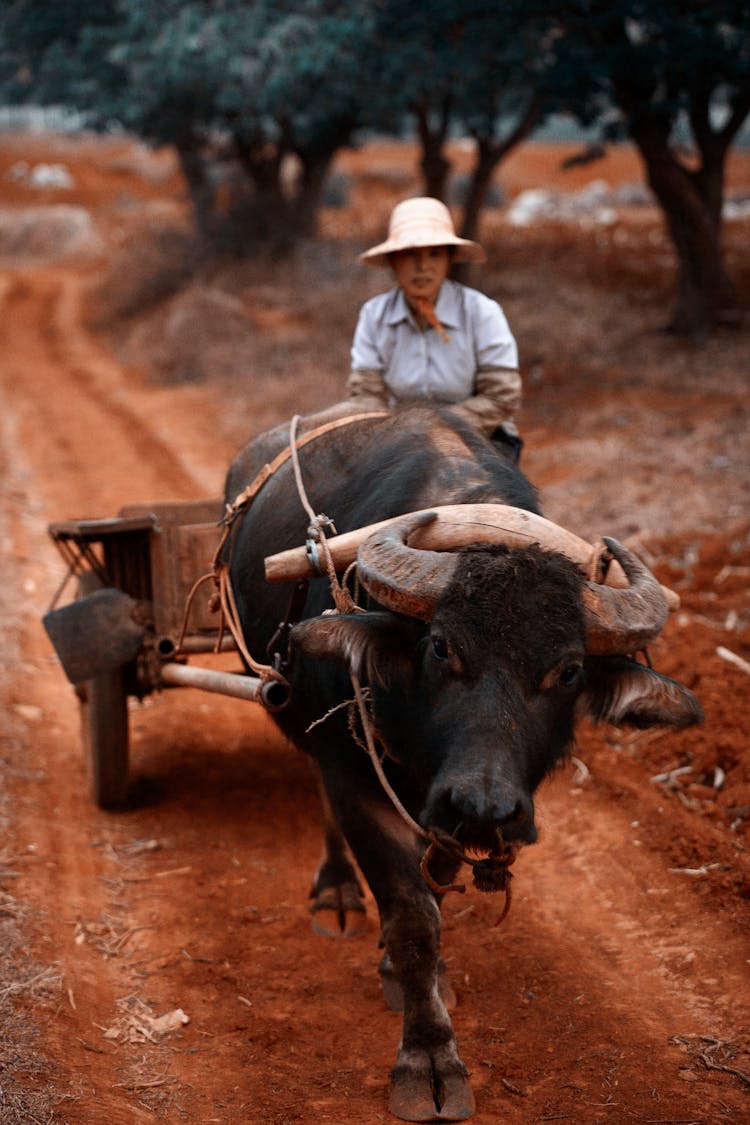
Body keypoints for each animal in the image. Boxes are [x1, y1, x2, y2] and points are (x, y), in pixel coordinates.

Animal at [222, 407, 706, 1125]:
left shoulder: (447, 813)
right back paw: (336, 890)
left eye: (568, 671)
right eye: (441, 647)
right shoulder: (355, 774)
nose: (482, 806)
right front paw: (428, 1058)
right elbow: (412, 915)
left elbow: (437, 888)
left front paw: (414, 977)